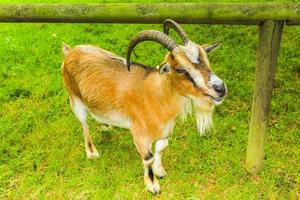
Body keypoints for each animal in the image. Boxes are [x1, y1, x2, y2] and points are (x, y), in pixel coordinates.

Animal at [61, 19, 227, 195]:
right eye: (181, 69)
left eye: (207, 59)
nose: (220, 89)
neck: (156, 95)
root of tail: (69, 52)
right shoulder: (139, 133)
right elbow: (148, 159)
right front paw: (152, 185)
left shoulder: (165, 130)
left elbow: (161, 147)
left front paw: (160, 171)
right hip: (74, 99)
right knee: (83, 123)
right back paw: (92, 152)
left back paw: (106, 126)